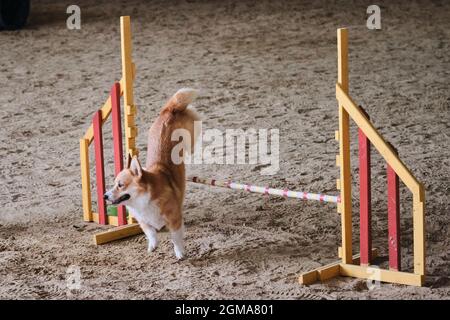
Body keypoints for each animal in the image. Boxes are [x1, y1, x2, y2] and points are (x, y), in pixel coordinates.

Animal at [104, 88, 200, 260]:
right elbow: (150, 233)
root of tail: (169, 111)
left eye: (120, 185)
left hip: (190, 133)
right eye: (114, 184)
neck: (143, 200)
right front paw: (152, 246)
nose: (105, 196)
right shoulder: (143, 221)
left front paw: (180, 253)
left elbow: (176, 238)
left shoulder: (174, 219)